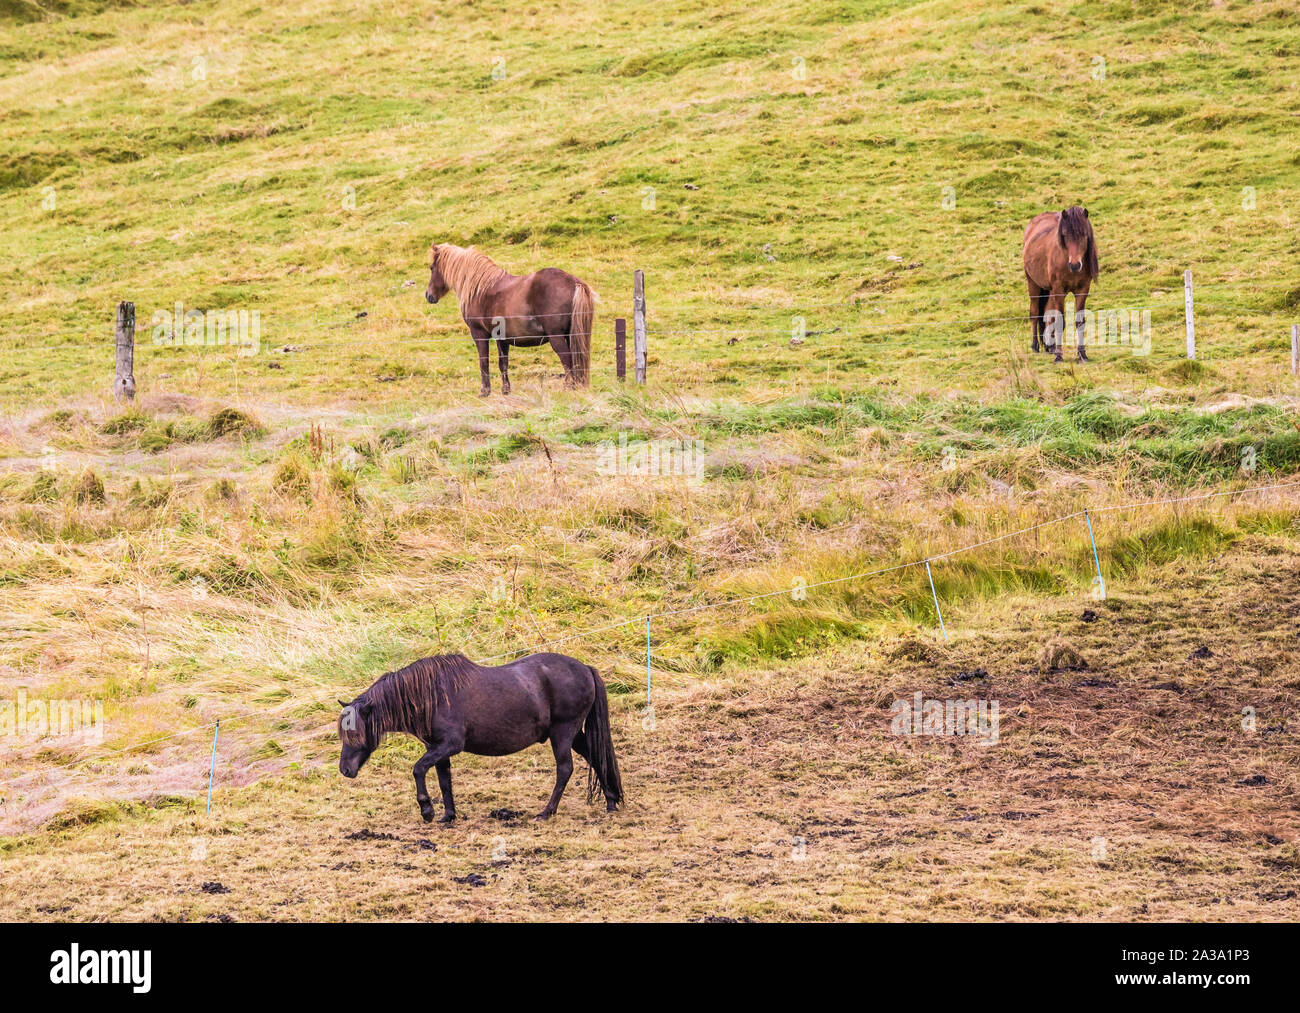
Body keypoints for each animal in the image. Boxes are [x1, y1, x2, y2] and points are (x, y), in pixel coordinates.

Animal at [337, 652, 623, 823]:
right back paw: (610, 802)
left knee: (565, 769)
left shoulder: (449, 745)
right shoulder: (438, 750)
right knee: (597, 758)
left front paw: (427, 810)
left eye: (354, 731)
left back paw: (546, 812)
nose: (345, 770)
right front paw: (448, 816)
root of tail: (585, 668)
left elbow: (418, 769)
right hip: (572, 734)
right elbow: (444, 781)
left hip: (562, 733)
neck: (432, 695)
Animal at [424, 243, 595, 396]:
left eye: (432, 268)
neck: (481, 288)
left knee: (567, 359)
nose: (428, 295)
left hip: (557, 337)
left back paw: (568, 387)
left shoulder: (479, 334)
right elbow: (503, 364)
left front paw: (484, 391)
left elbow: (484, 362)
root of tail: (574, 282)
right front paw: (505, 390)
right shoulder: (502, 339)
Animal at [1022, 206, 1099, 362]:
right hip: (1034, 285)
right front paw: (1059, 356)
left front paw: (1082, 355)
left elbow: (1079, 322)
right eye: (1065, 235)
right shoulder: (1059, 290)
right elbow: (1059, 321)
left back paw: (1049, 346)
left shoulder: (1082, 290)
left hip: (1049, 290)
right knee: (1035, 313)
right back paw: (1035, 346)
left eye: (1083, 234)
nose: (1075, 265)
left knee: (1047, 314)